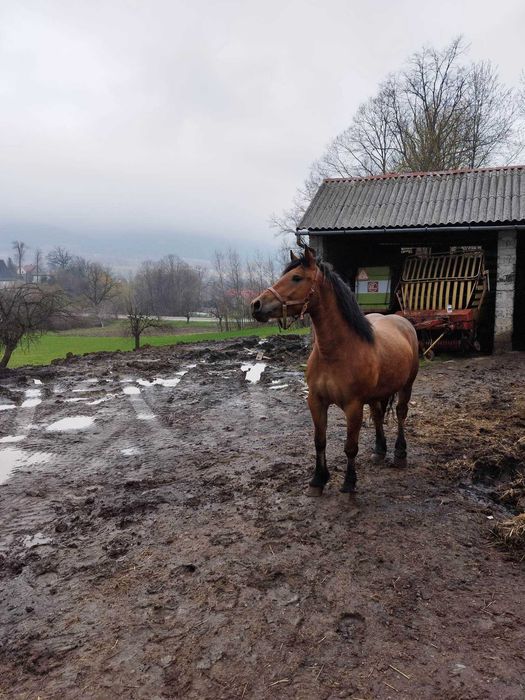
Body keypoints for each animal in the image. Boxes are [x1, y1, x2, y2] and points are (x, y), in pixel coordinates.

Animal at [250, 246, 418, 498]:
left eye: (296, 278)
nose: (256, 305)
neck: (335, 352)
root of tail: (401, 321)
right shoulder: (316, 401)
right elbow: (319, 441)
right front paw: (317, 480)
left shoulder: (353, 406)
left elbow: (350, 447)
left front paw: (349, 483)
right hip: (376, 395)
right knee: (379, 415)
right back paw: (379, 451)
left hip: (406, 387)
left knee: (400, 414)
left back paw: (400, 454)